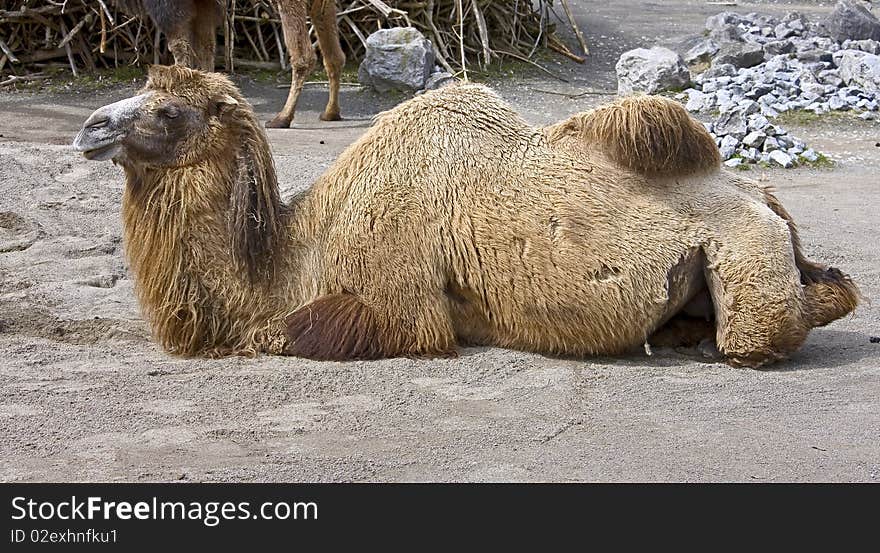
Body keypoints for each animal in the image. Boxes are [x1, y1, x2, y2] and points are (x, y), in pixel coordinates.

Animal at [72, 66, 856, 366]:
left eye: (169, 112)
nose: (90, 127)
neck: (301, 250)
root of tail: (768, 204)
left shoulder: (401, 310)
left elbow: (281, 333)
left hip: (746, 257)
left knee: (761, 333)